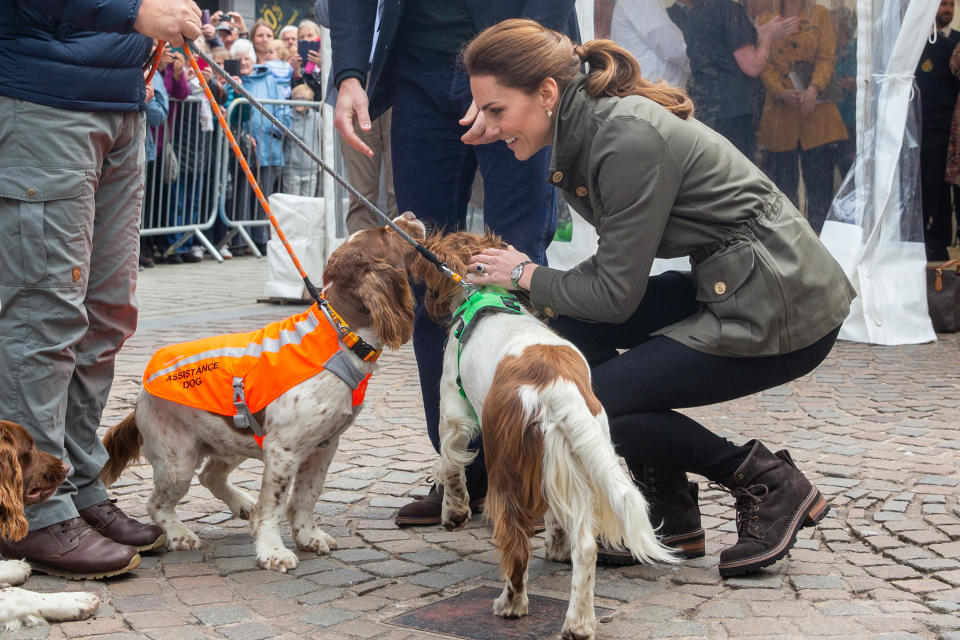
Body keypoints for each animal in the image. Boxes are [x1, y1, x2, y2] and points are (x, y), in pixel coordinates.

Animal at [100, 215, 424, 576]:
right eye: (386, 232)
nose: (411, 216)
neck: (340, 334)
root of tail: (140, 396)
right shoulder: (283, 448)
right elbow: (275, 504)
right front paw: (273, 551)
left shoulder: (323, 446)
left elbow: (307, 495)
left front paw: (309, 536)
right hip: (177, 459)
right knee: (157, 502)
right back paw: (179, 534)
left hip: (232, 438)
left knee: (210, 475)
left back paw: (243, 504)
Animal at [410, 232, 676, 640]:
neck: (487, 295)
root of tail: (556, 385)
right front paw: (555, 545)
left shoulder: (452, 409)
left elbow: (451, 465)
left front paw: (453, 513)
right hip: (576, 452)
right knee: (585, 546)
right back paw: (578, 623)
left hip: (508, 467)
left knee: (516, 542)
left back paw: (511, 604)